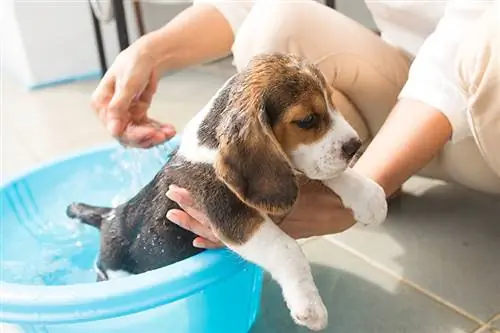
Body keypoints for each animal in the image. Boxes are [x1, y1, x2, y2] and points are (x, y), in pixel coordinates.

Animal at [66, 52, 386, 330]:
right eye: (307, 120)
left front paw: (369, 197)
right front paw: (309, 305)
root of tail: (109, 215)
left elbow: (326, 173)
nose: (355, 145)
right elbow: (286, 249)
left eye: (332, 102)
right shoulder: (229, 214)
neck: (210, 143)